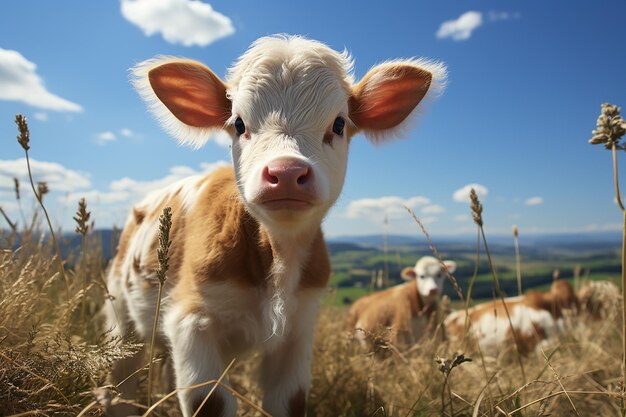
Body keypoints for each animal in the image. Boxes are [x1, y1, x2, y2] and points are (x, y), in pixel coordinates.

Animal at [102, 35, 444, 416]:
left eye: (339, 124)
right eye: (238, 124)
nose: (287, 172)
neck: (277, 254)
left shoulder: (299, 328)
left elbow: (291, 400)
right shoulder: (191, 320)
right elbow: (209, 402)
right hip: (120, 314)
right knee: (119, 380)